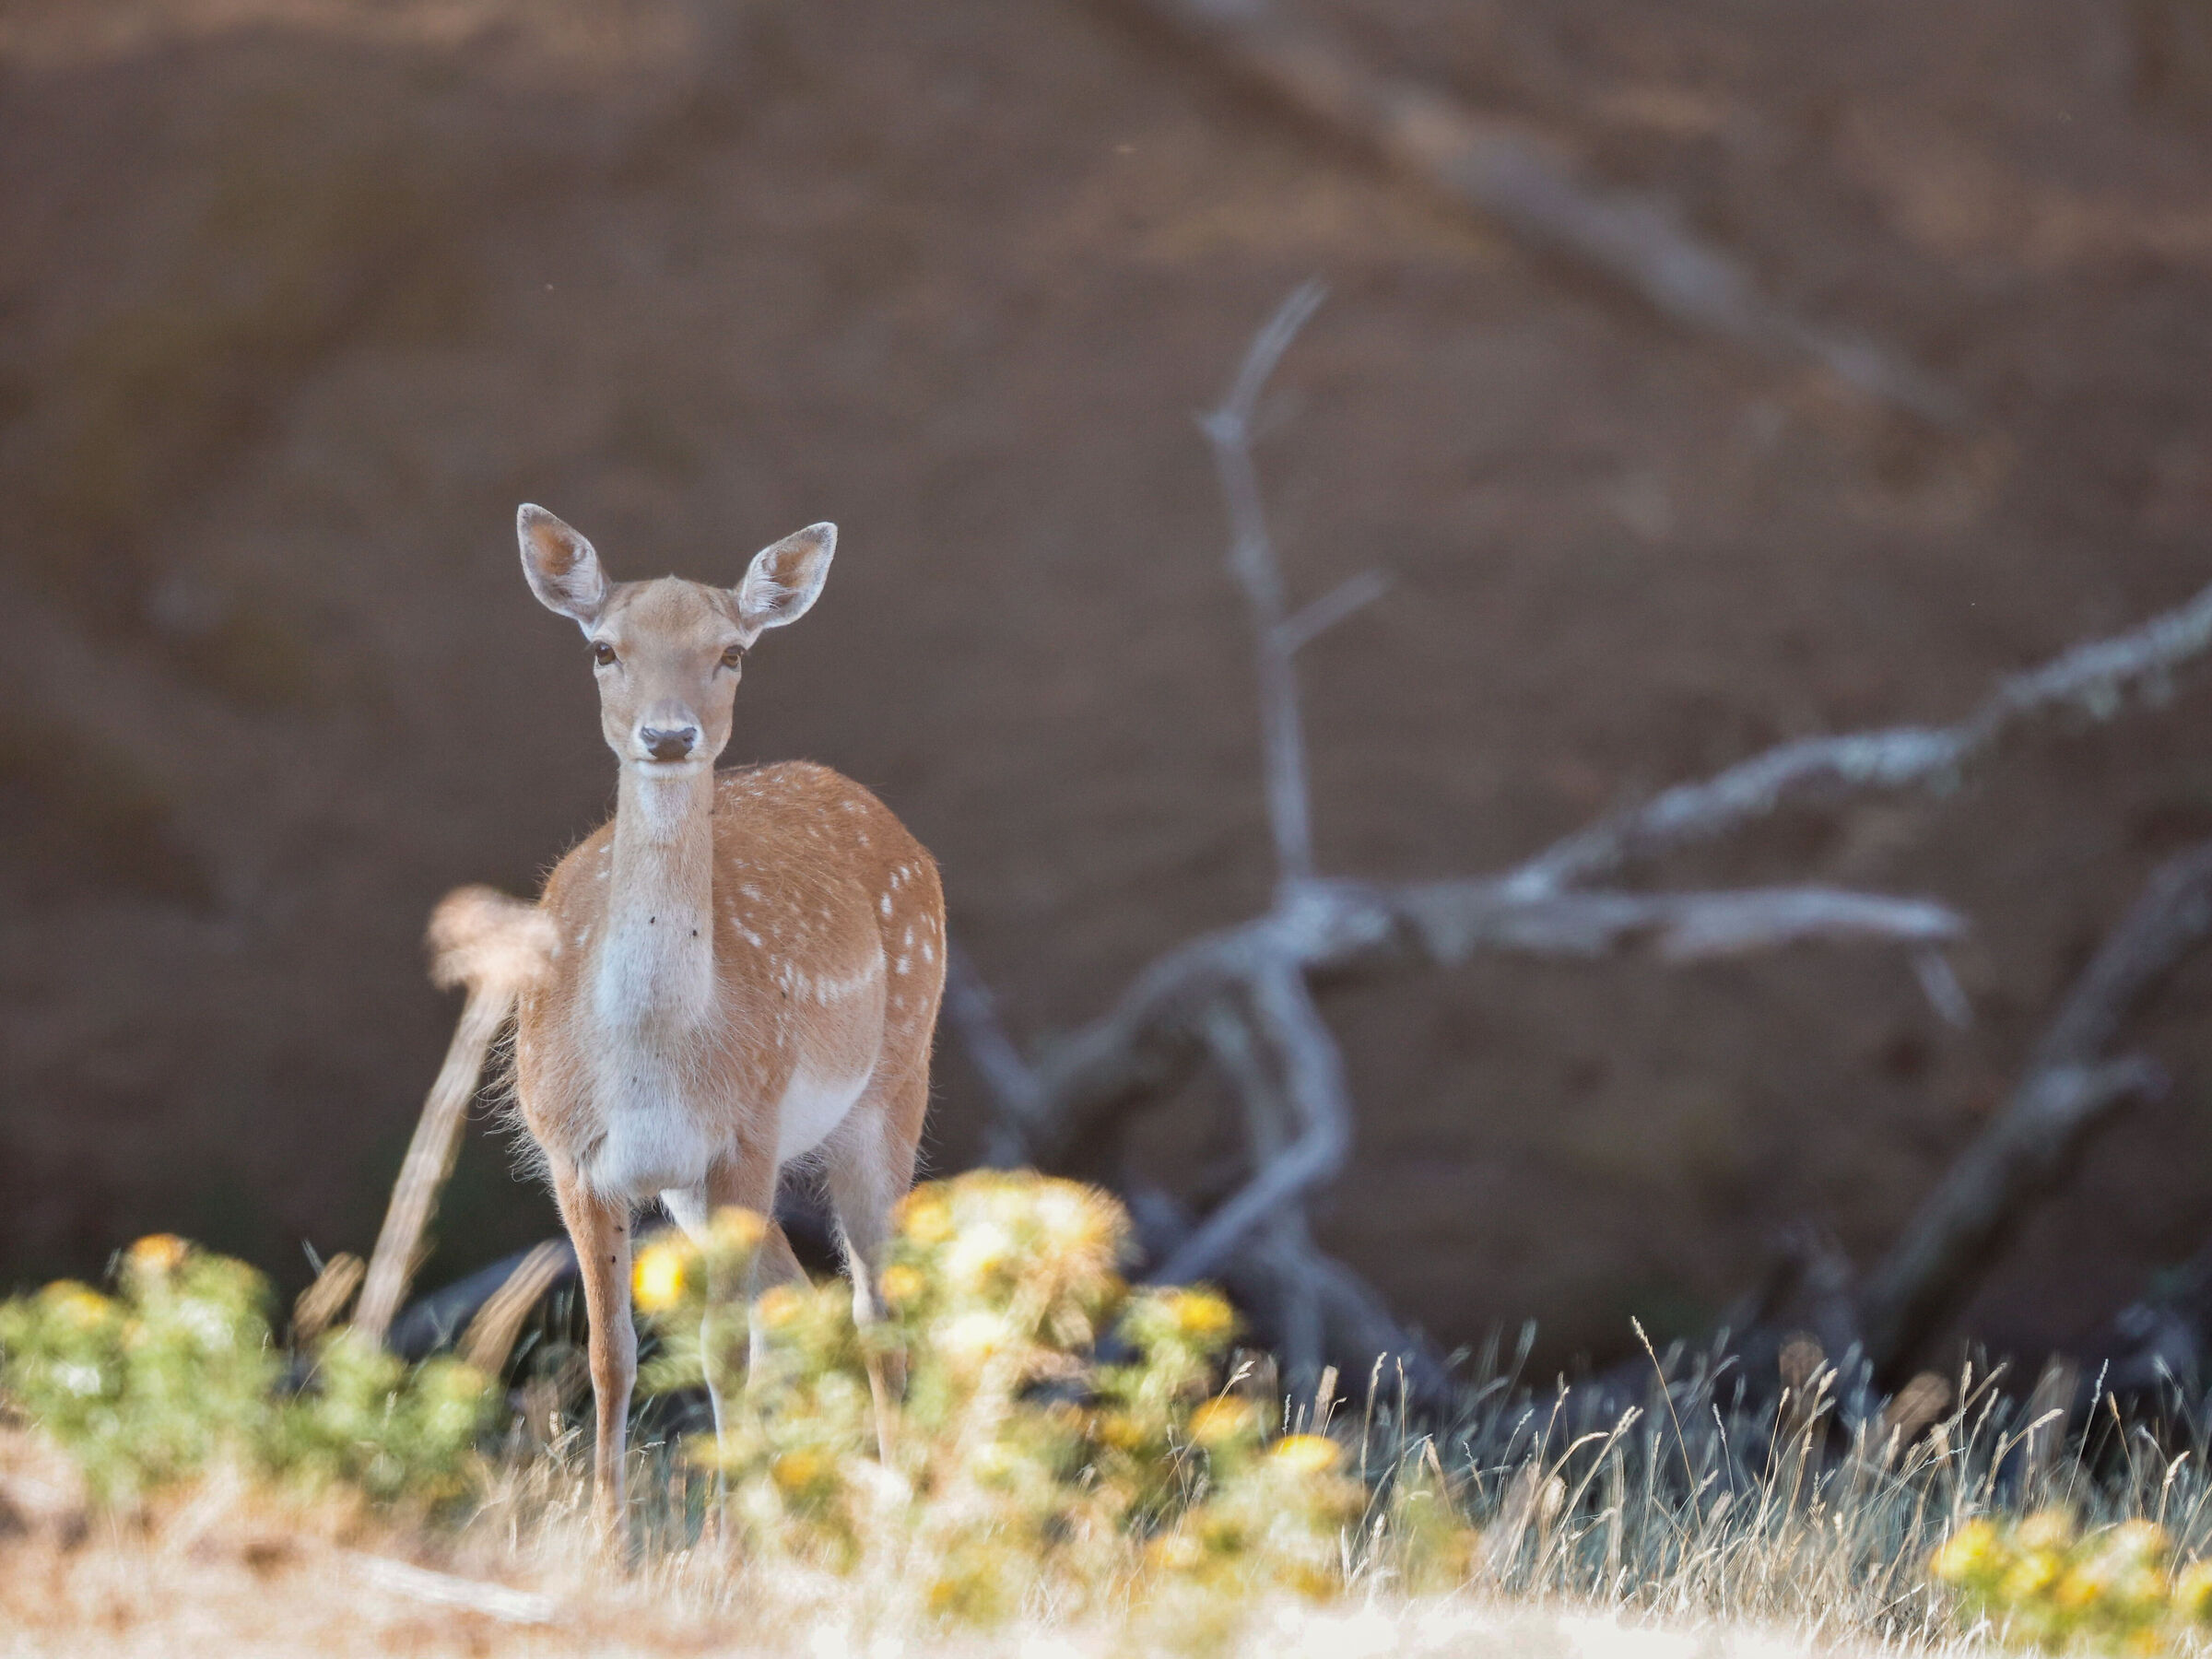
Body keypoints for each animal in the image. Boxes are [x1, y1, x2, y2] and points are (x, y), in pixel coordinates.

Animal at [508, 504, 946, 1536]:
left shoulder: (745, 1134)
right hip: (698, 1186)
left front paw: (729, 1545)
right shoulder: (572, 1154)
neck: (650, 1054)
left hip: (894, 1082)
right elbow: (610, 1357)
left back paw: (896, 1514)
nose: (669, 737)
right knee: (797, 1293)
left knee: (872, 1304)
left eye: (732, 653)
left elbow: (722, 1356)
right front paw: (610, 1543)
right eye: (603, 648)